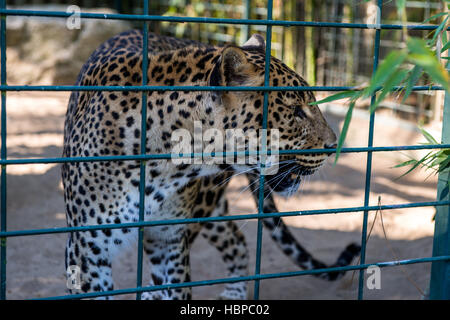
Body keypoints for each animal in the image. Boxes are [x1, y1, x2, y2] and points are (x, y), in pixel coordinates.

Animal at [61, 30, 360, 300]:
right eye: (296, 111)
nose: (333, 145)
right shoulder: (86, 251)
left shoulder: (170, 242)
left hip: (202, 206)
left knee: (235, 241)